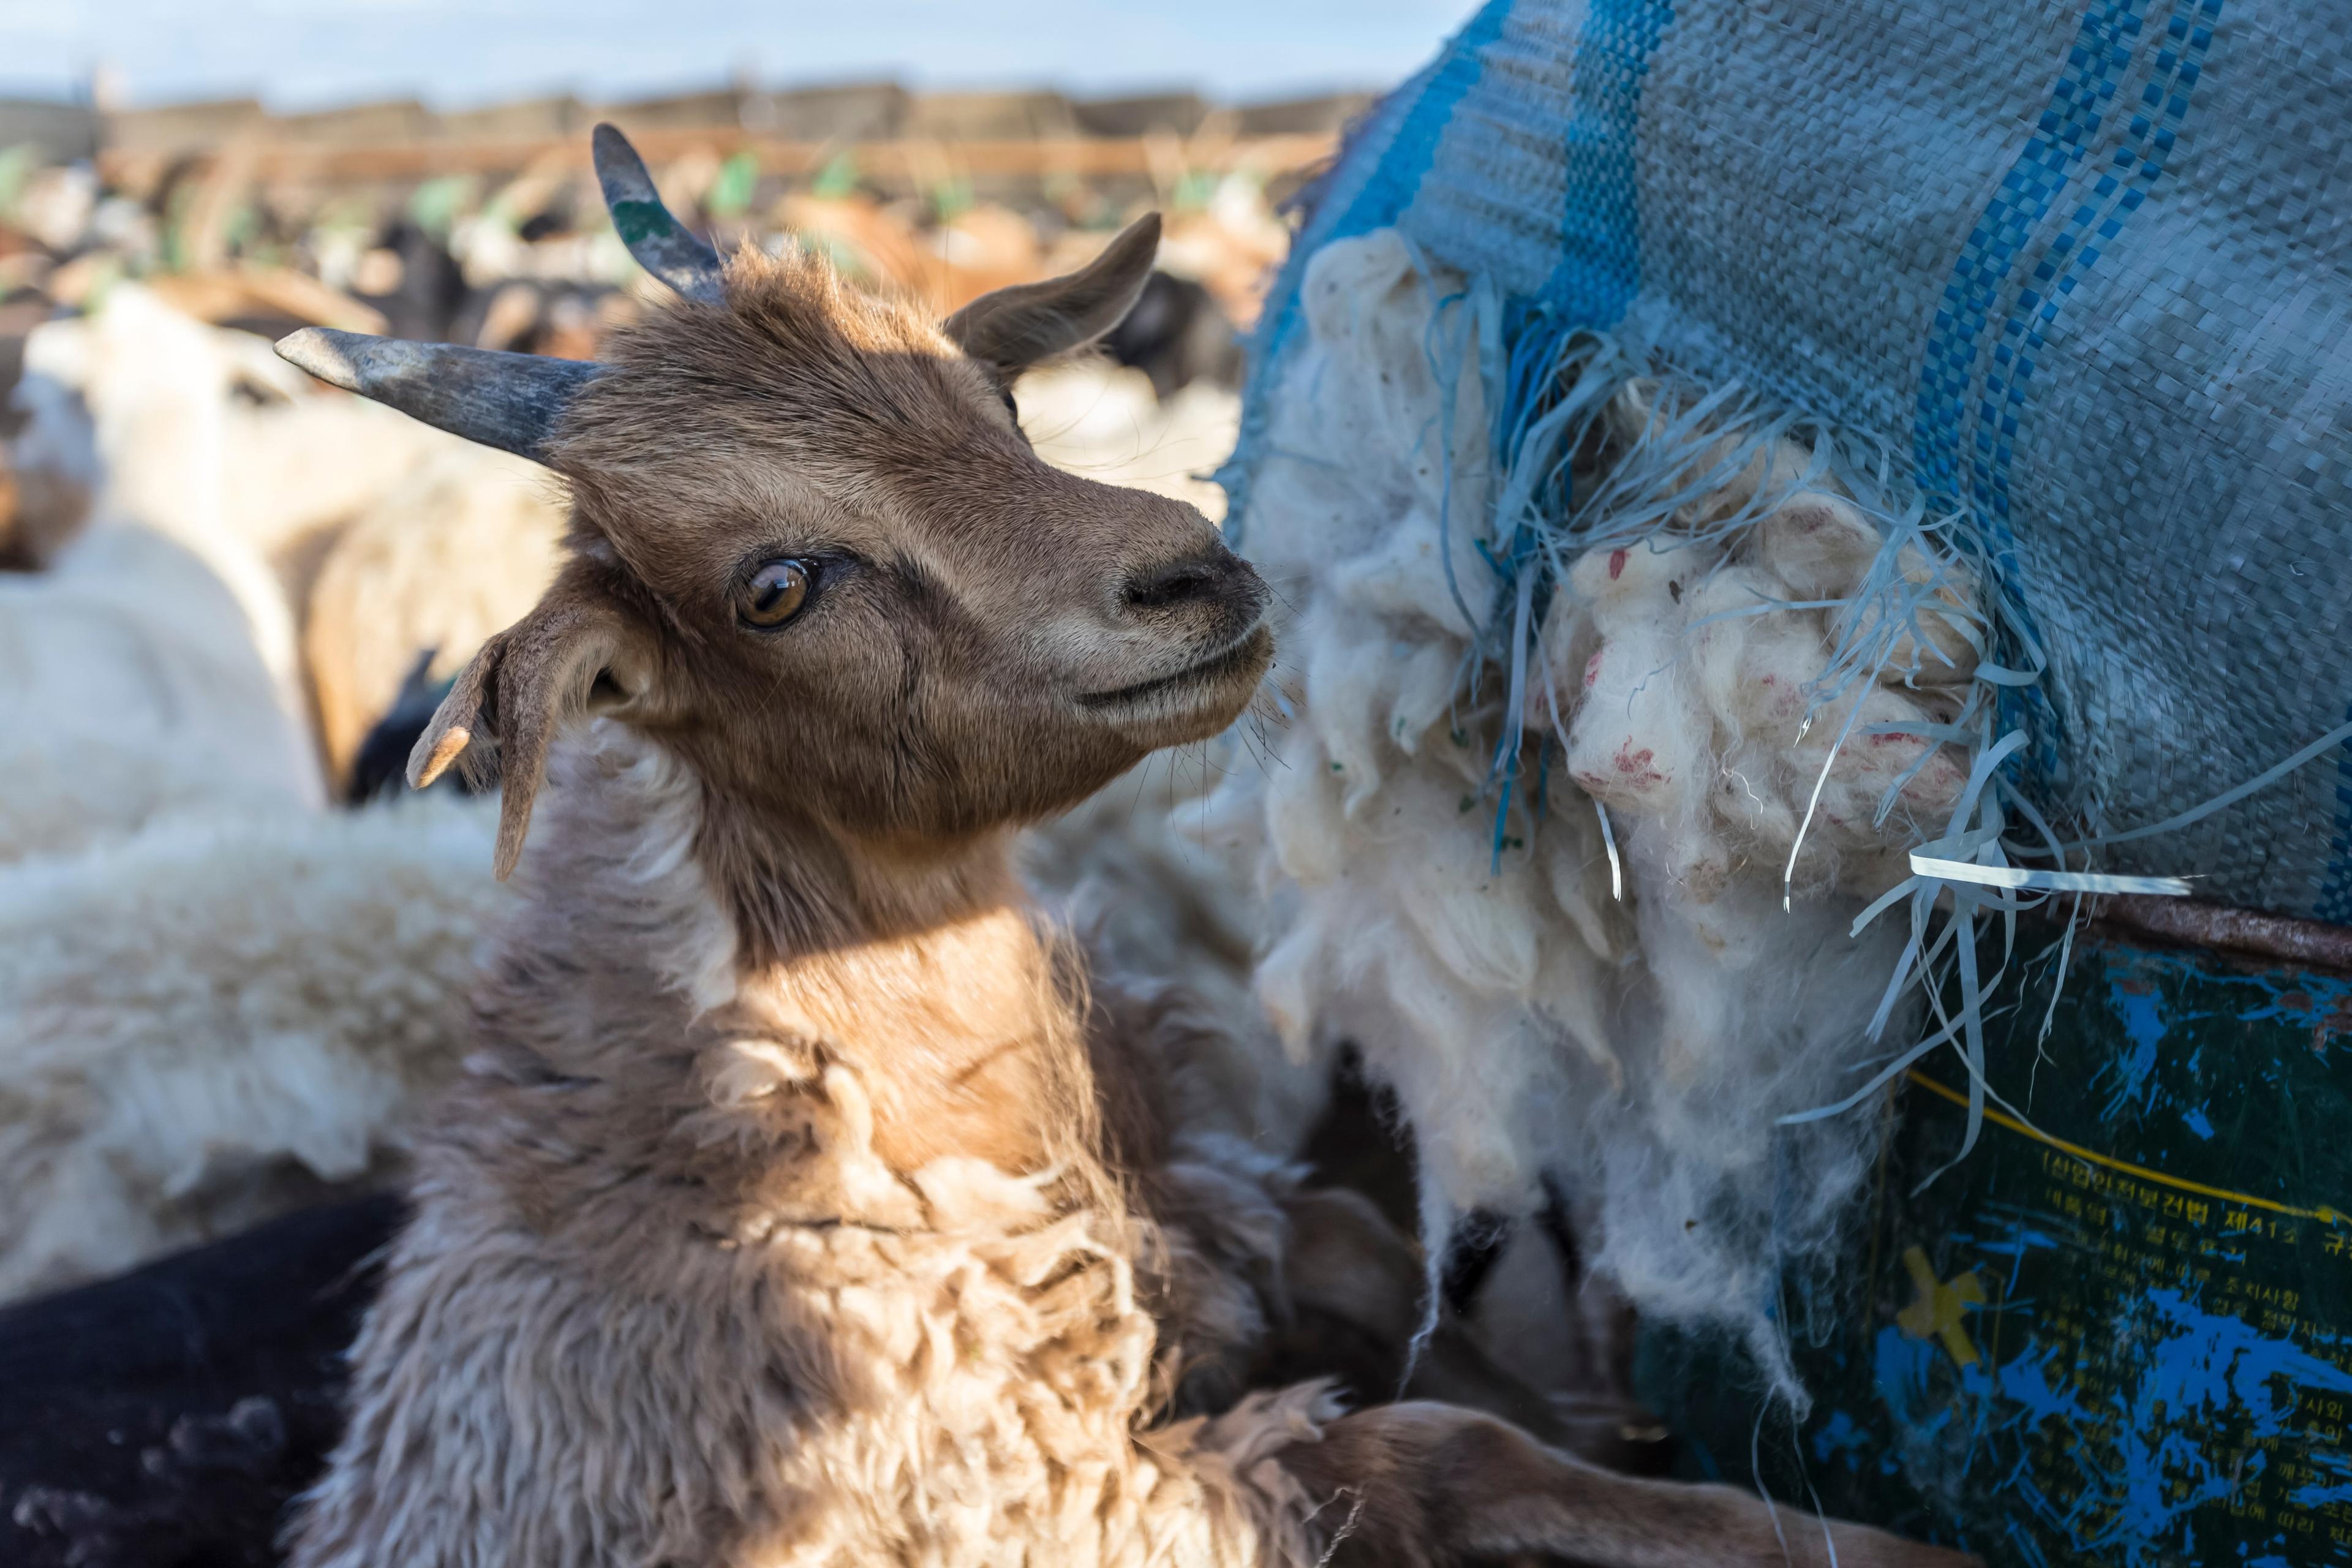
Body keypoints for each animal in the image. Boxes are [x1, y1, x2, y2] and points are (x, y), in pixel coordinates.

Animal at [275, 126, 1975, 1568]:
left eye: (1004, 406)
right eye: (773, 586)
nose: (1188, 574)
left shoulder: (1216, 1210)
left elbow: (1362, 1247)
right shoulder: (1083, 1486)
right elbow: (1440, 1452)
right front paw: (1864, 1543)